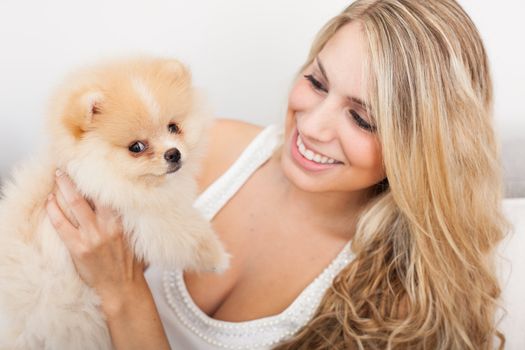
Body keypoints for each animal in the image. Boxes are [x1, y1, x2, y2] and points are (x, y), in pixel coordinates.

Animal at [0, 56, 229, 348]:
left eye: (173, 127)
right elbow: (187, 233)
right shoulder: (143, 215)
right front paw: (218, 259)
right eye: (136, 147)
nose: (174, 153)